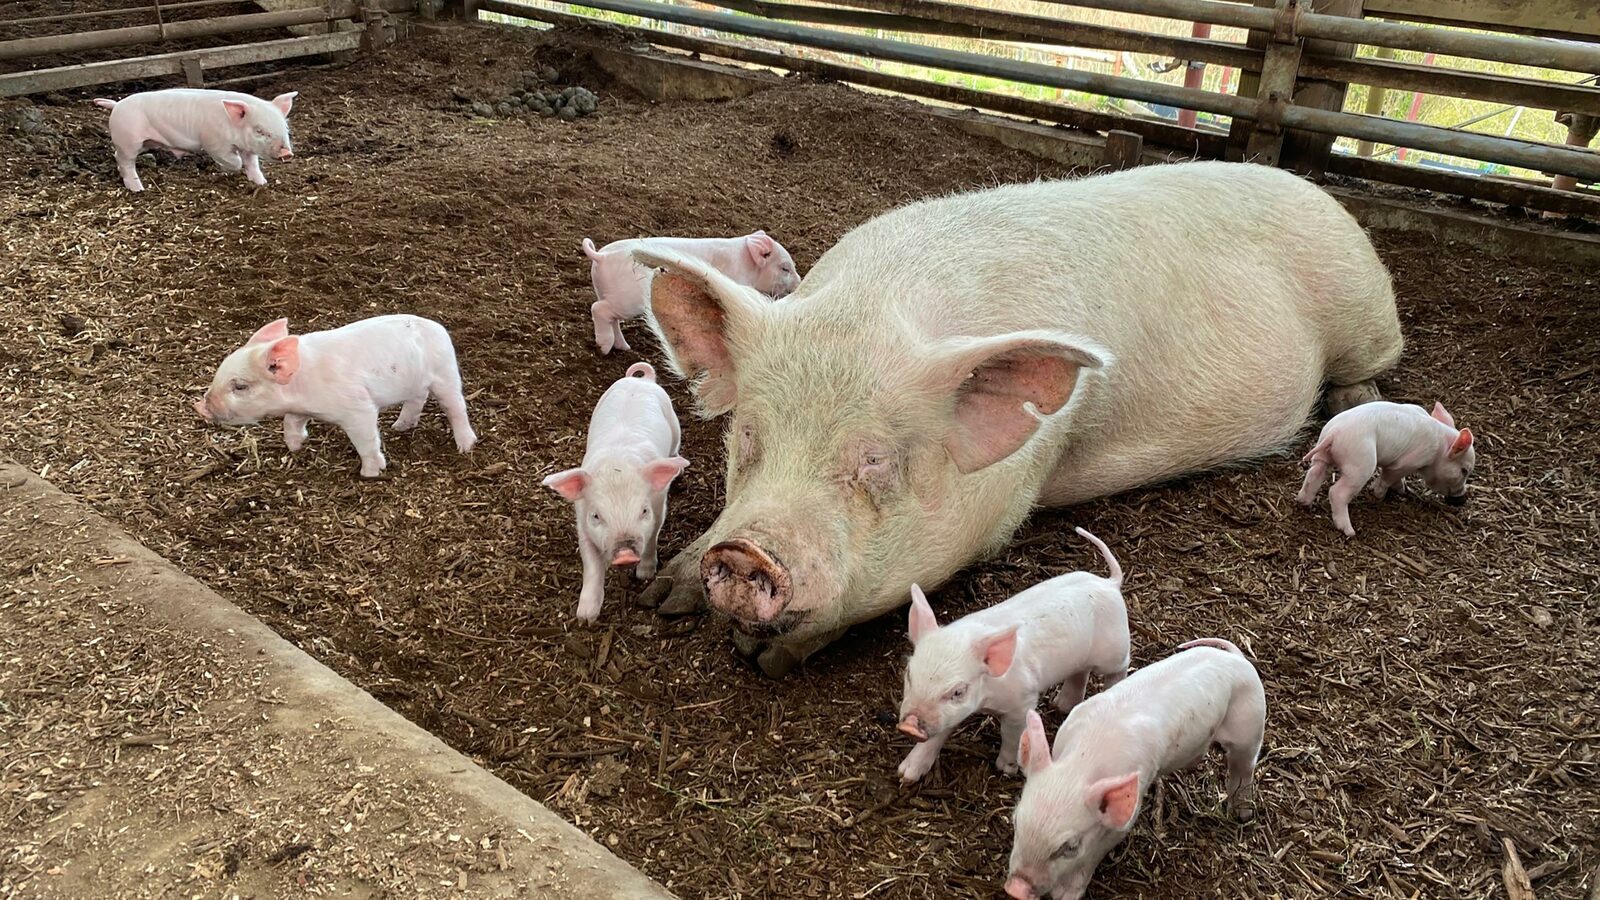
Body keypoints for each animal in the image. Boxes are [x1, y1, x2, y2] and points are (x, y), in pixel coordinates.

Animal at [636, 160, 1401, 672]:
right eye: (748, 437)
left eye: (875, 462)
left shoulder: (1012, 497)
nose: (745, 552)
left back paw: (1353, 404)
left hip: (1364, 316)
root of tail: (1322, 194)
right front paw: (664, 594)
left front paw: (764, 655)